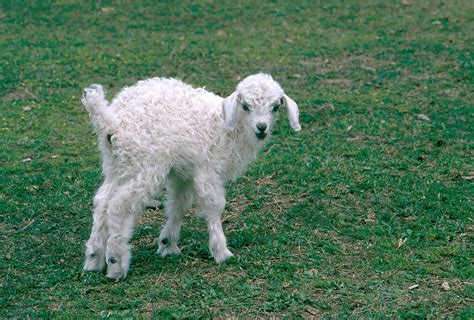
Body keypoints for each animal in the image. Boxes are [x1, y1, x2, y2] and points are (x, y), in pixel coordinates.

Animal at [81, 74, 300, 278]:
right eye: (245, 106)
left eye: (275, 107)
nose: (261, 128)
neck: (226, 128)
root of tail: (111, 121)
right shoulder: (207, 170)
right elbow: (214, 206)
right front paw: (221, 251)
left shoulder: (183, 172)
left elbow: (179, 204)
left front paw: (167, 245)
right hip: (144, 165)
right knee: (119, 206)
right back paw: (115, 264)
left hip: (116, 164)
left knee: (102, 201)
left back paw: (94, 258)